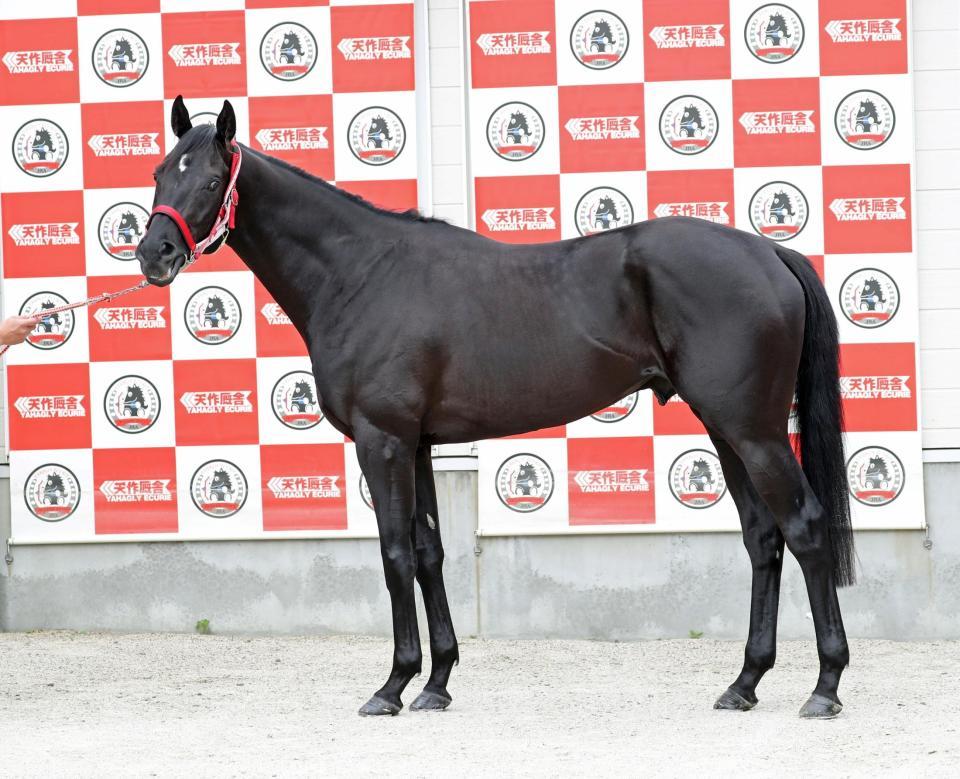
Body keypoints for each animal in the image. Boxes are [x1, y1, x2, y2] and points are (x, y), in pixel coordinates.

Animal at [135, 100, 856, 724]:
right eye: (159, 171)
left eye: (208, 177)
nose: (152, 254)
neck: (362, 274)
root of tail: (770, 251)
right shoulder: (417, 444)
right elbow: (429, 550)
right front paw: (435, 682)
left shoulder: (382, 440)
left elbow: (395, 553)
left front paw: (392, 686)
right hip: (727, 430)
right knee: (763, 539)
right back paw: (744, 682)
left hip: (755, 432)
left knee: (805, 528)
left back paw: (824, 685)